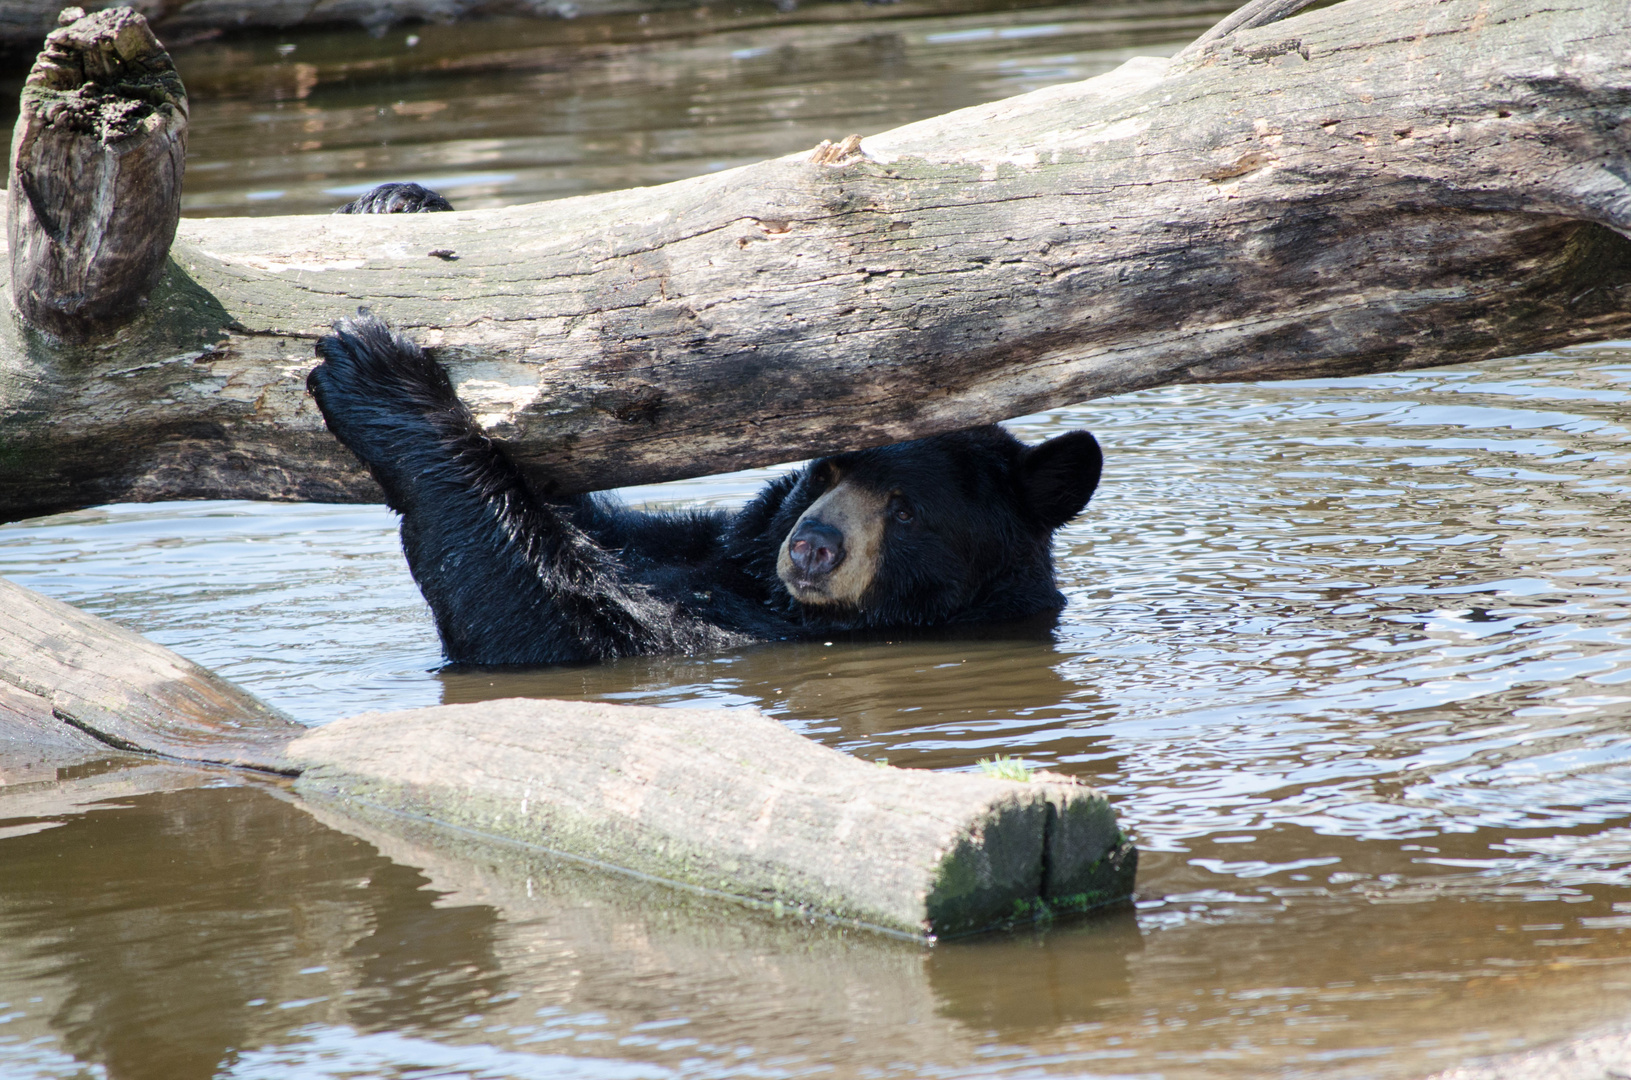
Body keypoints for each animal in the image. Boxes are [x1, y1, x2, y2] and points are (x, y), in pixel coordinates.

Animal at [306, 314, 1102, 668]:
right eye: (827, 470)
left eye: (908, 512)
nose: (811, 548)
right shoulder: (711, 543)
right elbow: (585, 516)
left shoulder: (755, 637)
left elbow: (558, 631)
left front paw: (380, 376)